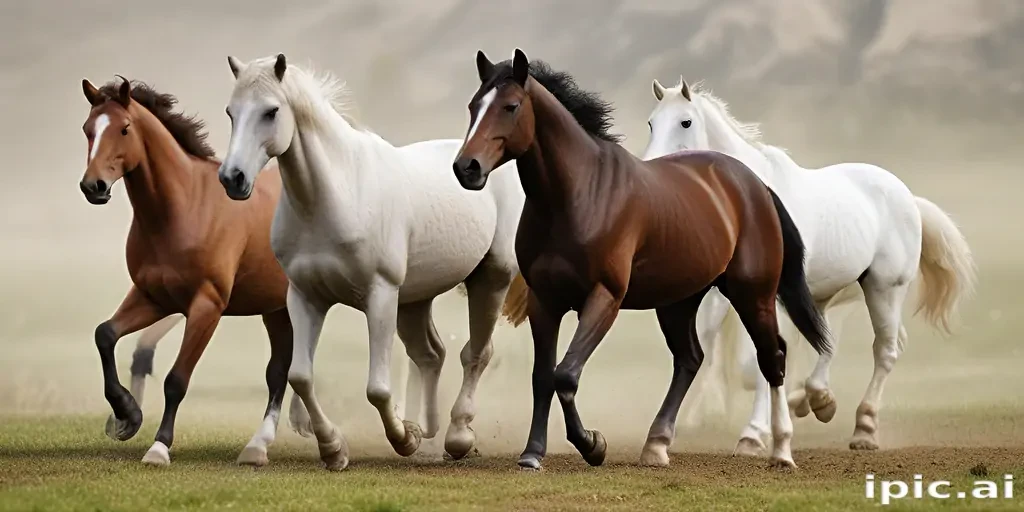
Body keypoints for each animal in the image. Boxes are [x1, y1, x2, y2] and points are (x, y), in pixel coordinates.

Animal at [79, 76, 296, 467]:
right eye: (88, 129)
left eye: (124, 128)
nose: (94, 187)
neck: (182, 208)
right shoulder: (153, 298)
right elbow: (105, 334)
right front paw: (126, 416)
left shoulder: (206, 307)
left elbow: (176, 379)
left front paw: (158, 447)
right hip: (277, 308)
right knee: (281, 370)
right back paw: (260, 446)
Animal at [217, 54, 528, 471]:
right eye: (231, 112)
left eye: (271, 111)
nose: (232, 178)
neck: (336, 194)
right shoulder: (305, 298)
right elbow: (301, 376)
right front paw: (333, 448)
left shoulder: (379, 295)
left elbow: (378, 389)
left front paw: (403, 439)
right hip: (413, 301)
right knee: (431, 354)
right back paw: (427, 431)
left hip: (490, 279)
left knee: (476, 354)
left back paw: (457, 436)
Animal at [452, 48, 832, 470]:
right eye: (473, 106)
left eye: (511, 106)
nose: (466, 167)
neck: (579, 196)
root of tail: (755, 185)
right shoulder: (544, 302)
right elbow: (543, 377)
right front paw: (533, 453)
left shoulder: (604, 298)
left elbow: (565, 375)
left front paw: (593, 445)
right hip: (678, 301)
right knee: (690, 358)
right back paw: (656, 445)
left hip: (754, 294)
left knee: (772, 357)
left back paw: (778, 449)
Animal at [643, 77, 976, 453]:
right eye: (652, 122)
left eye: (685, 122)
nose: (651, 169)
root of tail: (907, 198)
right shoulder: (725, 297)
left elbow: (765, 357)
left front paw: (753, 435)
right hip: (825, 295)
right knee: (829, 341)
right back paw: (814, 399)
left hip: (882, 289)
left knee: (885, 349)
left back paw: (863, 426)